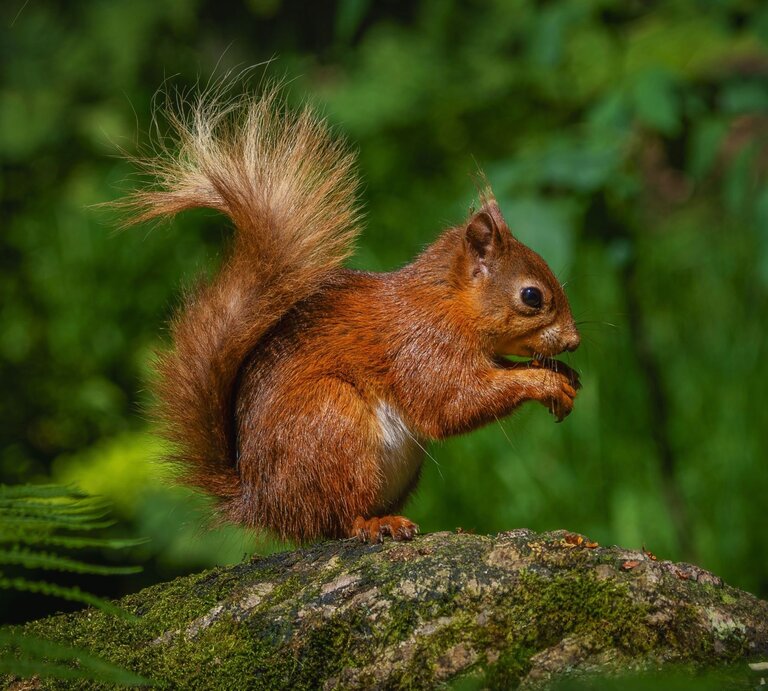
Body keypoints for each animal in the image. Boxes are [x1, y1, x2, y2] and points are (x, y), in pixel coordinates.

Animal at [122, 87, 581, 544]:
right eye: (531, 296)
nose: (574, 342)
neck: (445, 304)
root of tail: (264, 504)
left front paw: (562, 374)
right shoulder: (422, 348)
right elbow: (452, 403)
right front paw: (542, 382)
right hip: (333, 422)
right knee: (339, 519)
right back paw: (376, 524)